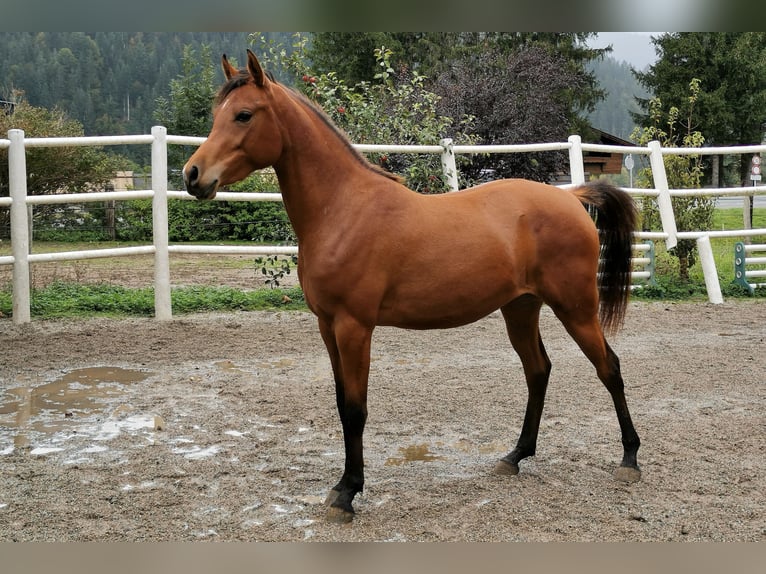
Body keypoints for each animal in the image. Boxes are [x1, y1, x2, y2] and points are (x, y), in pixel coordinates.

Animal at [183, 50, 642, 524]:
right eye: (217, 114)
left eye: (243, 114)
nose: (193, 175)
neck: (343, 209)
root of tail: (570, 197)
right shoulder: (327, 327)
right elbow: (340, 404)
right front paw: (342, 485)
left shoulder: (354, 327)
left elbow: (355, 409)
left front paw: (348, 493)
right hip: (520, 308)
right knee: (538, 371)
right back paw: (515, 456)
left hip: (576, 308)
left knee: (609, 368)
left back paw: (629, 459)